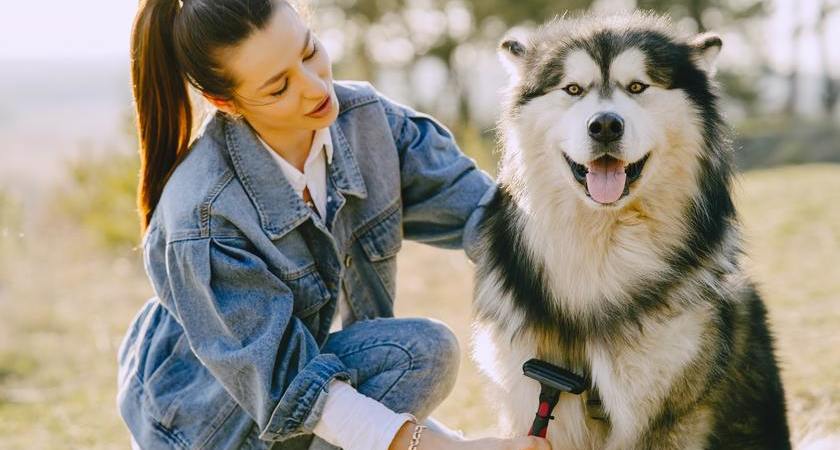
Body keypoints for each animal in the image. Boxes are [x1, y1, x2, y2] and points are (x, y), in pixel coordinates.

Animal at [472, 12, 796, 448]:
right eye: (573, 89)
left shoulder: (666, 411)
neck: (604, 246)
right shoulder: (532, 395)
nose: (606, 125)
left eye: (638, 87)